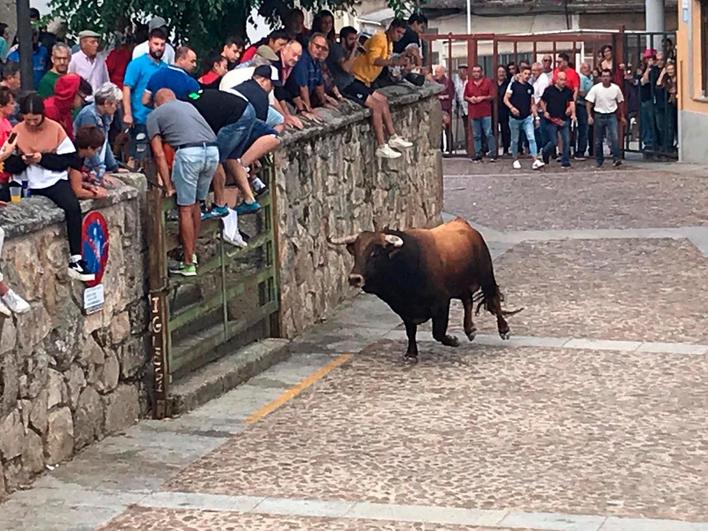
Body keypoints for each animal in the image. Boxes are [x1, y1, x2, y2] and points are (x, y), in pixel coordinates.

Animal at [330, 218, 520, 364]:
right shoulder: (404, 309)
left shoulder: (441, 303)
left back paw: (503, 330)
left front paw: (453, 340)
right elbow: (410, 331)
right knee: (467, 300)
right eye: (356, 252)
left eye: (374, 253)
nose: (354, 278)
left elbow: (438, 332)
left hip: (486, 274)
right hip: (461, 283)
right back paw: (470, 329)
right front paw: (411, 354)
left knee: (493, 299)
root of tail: (465, 226)